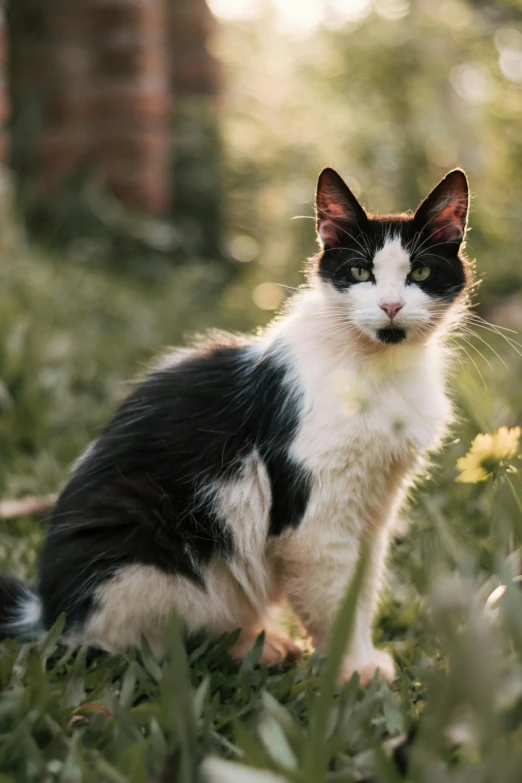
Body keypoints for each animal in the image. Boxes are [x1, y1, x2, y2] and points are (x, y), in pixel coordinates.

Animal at [0, 167, 470, 688]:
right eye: (359, 273)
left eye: (420, 273)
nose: (390, 306)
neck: (379, 368)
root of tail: (46, 612)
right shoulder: (313, 521)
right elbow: (335, 603)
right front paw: (352, 674)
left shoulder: (375, 508)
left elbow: (361, 591)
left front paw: (361, 665)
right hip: (146, 553)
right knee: (142, 645)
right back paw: (248, 649)